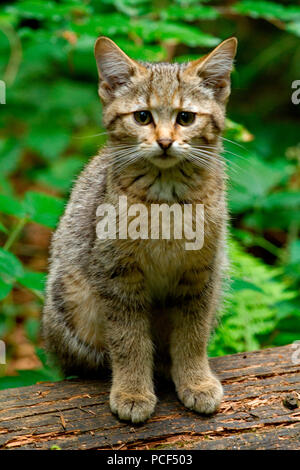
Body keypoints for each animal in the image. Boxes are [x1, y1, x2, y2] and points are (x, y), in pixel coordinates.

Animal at [42, 36, 238, 424]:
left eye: (185, 117)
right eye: (142, 117)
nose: (164, 141)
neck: (167, 200)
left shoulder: (201, 273)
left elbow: (192, 336)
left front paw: (196, 381)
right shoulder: (116, 275)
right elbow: (129, 341)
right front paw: (132, 391)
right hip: (70, 306)